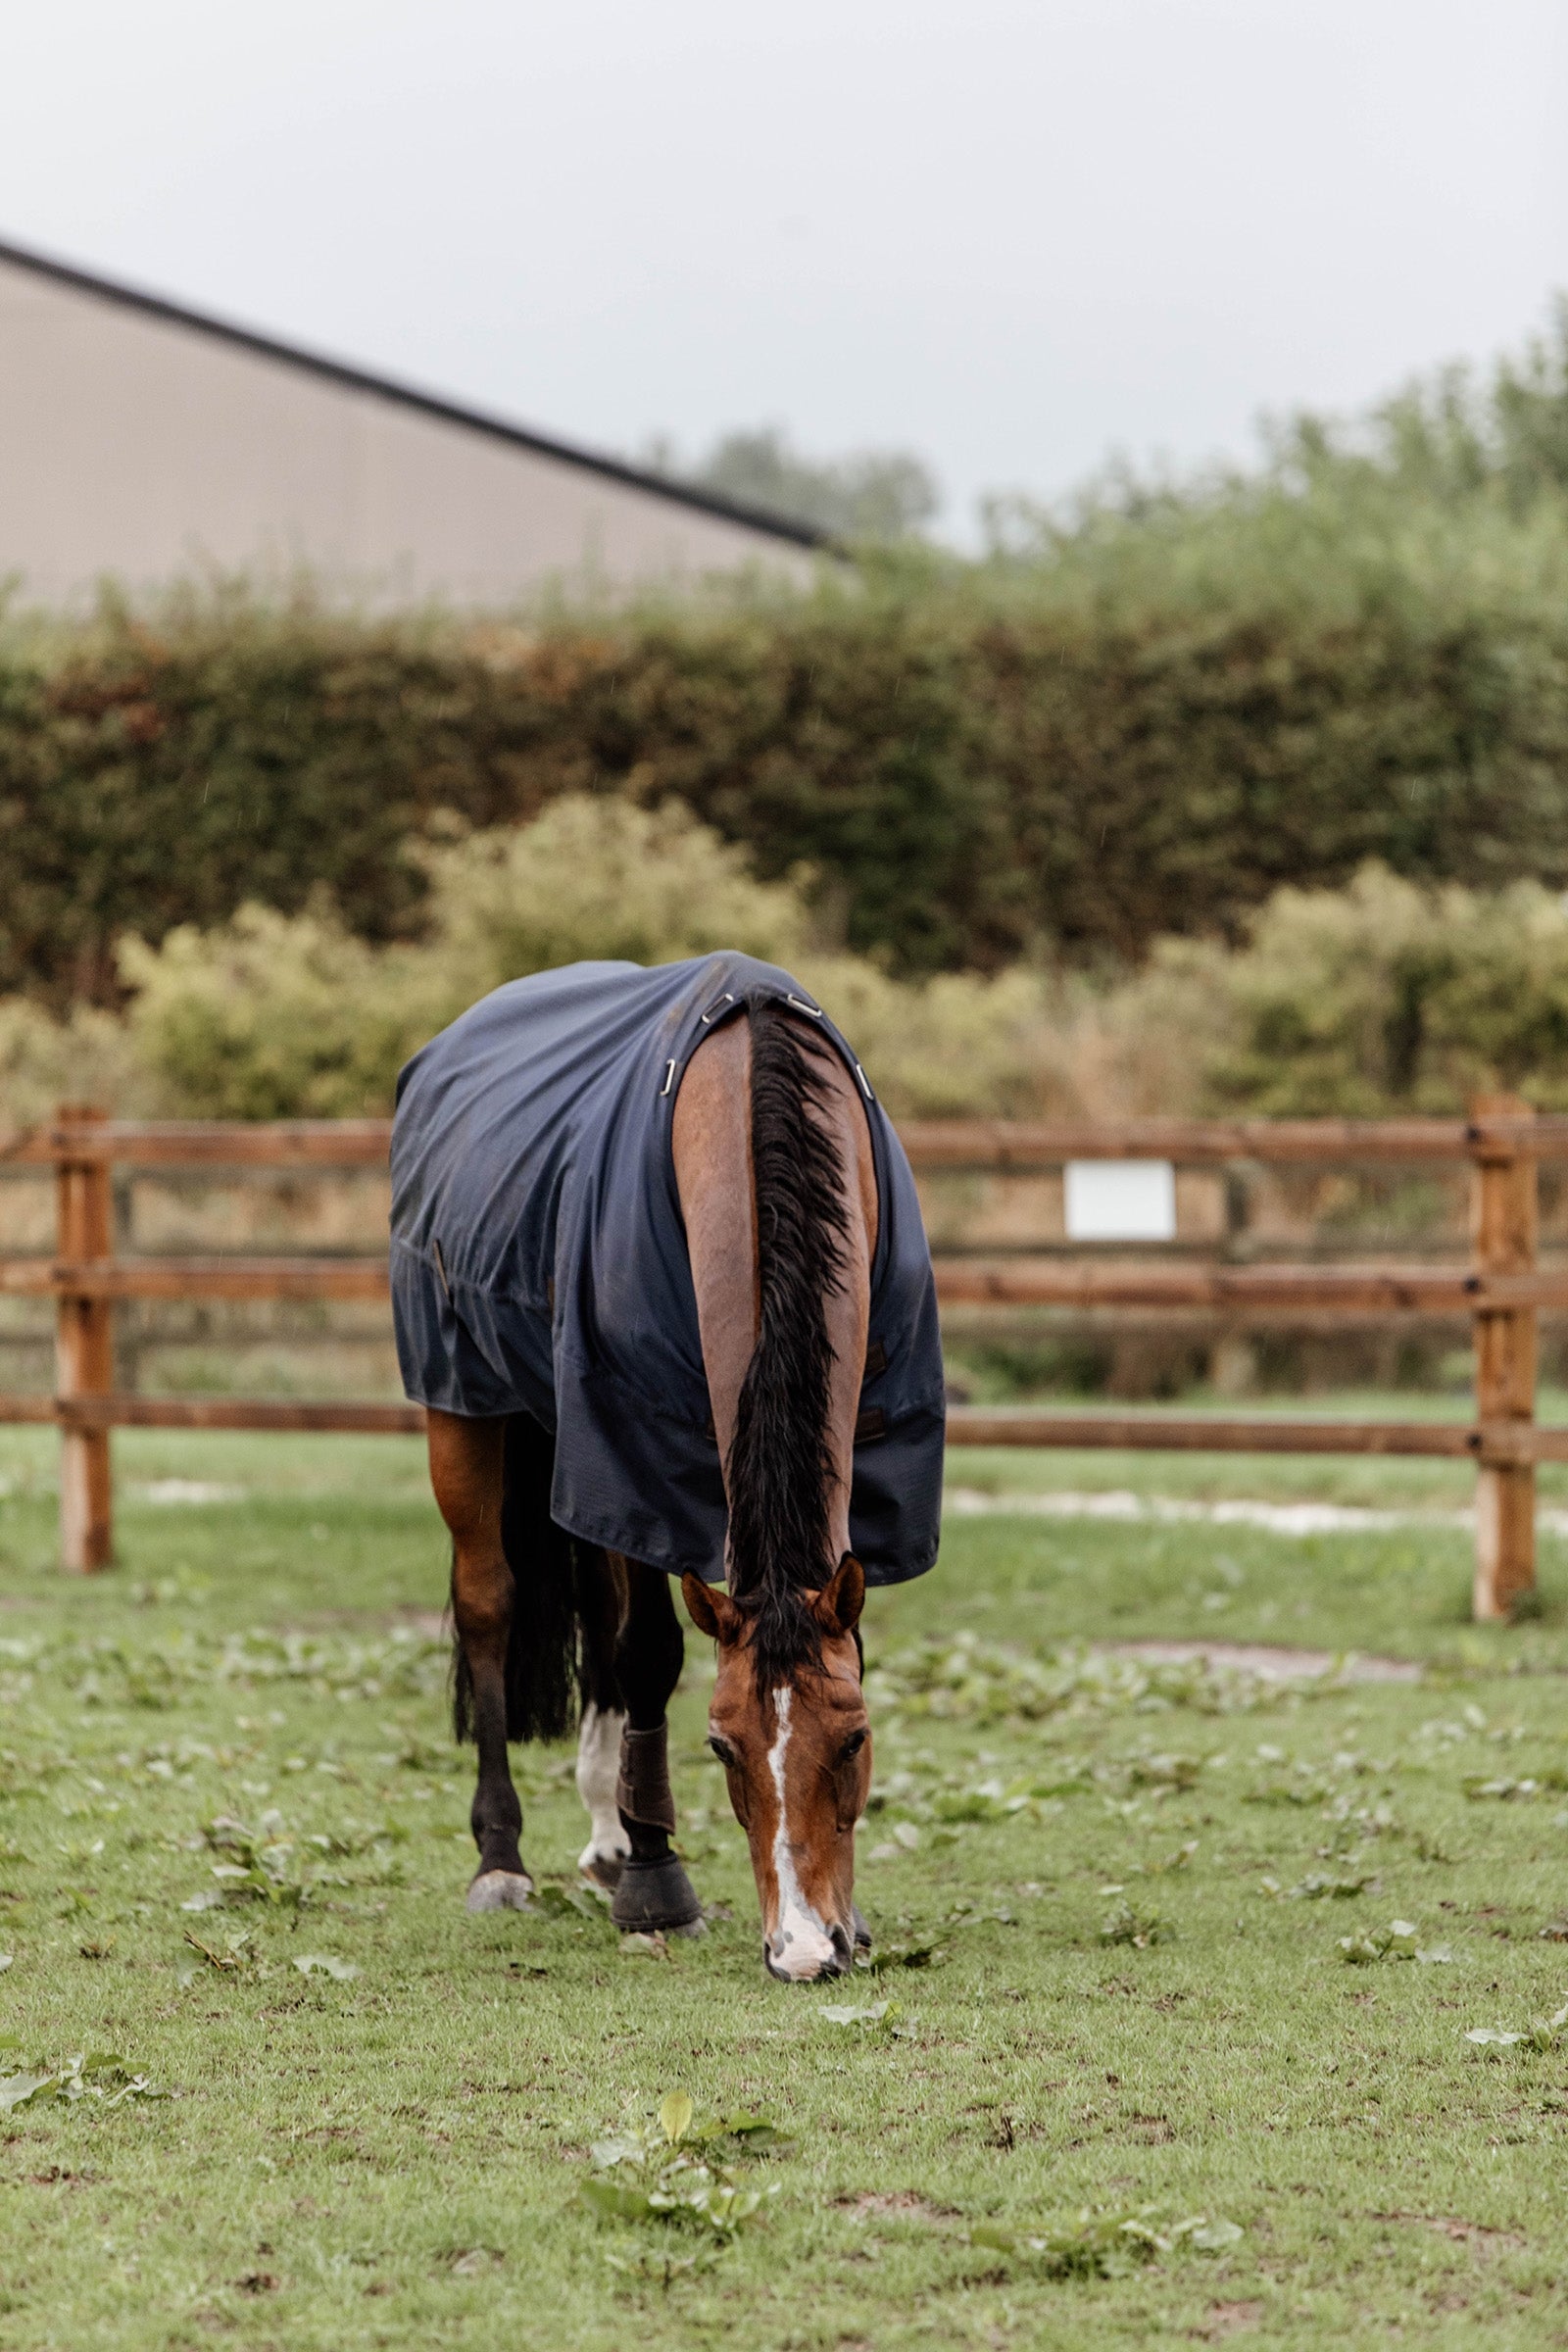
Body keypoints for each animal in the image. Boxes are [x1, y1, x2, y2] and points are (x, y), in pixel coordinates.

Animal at [390, 954, 944, 1980]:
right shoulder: (635, 1451)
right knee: (491, 1602)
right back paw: (504, 1859)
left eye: (855, 1739)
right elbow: (648, 1650)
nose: (804, 1949)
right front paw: (660, 1885)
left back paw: (611, 1834)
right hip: (466, 1401)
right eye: (722, 1748)